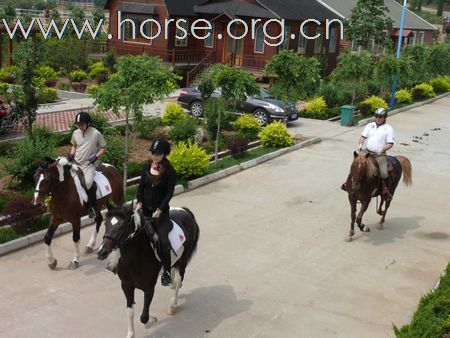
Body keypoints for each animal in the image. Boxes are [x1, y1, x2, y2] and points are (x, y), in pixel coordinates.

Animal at [97, 205, 200, 336]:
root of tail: (184, 210)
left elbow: (144, 317)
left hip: (183, 259)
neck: (135, 257)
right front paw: (130, 334)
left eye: (121, 226)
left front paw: (152, 320)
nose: (101, 252)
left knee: (179, 279)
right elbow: (130, 312)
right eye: (106, 224)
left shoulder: (149, 288)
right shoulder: (126, 285)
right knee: (174, 275)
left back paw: (172, 305)